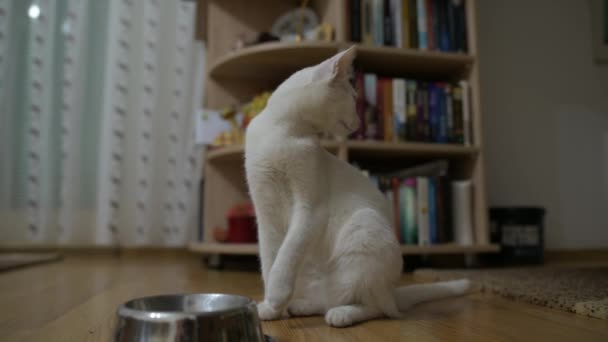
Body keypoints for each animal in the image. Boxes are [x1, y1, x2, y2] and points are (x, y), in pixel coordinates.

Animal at [243, 46, 470, 328]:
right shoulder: (266, 214)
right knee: (330, 298)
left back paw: (342, 314)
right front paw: (272, 308)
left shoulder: (310, 209)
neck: (282, 134)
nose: (359, 123)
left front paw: (276, 298)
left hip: (364, 228)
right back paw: (299, 306)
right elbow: (270, 260)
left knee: (377, 308)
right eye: (352, 98)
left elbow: (287, 254)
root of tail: (392, 290)